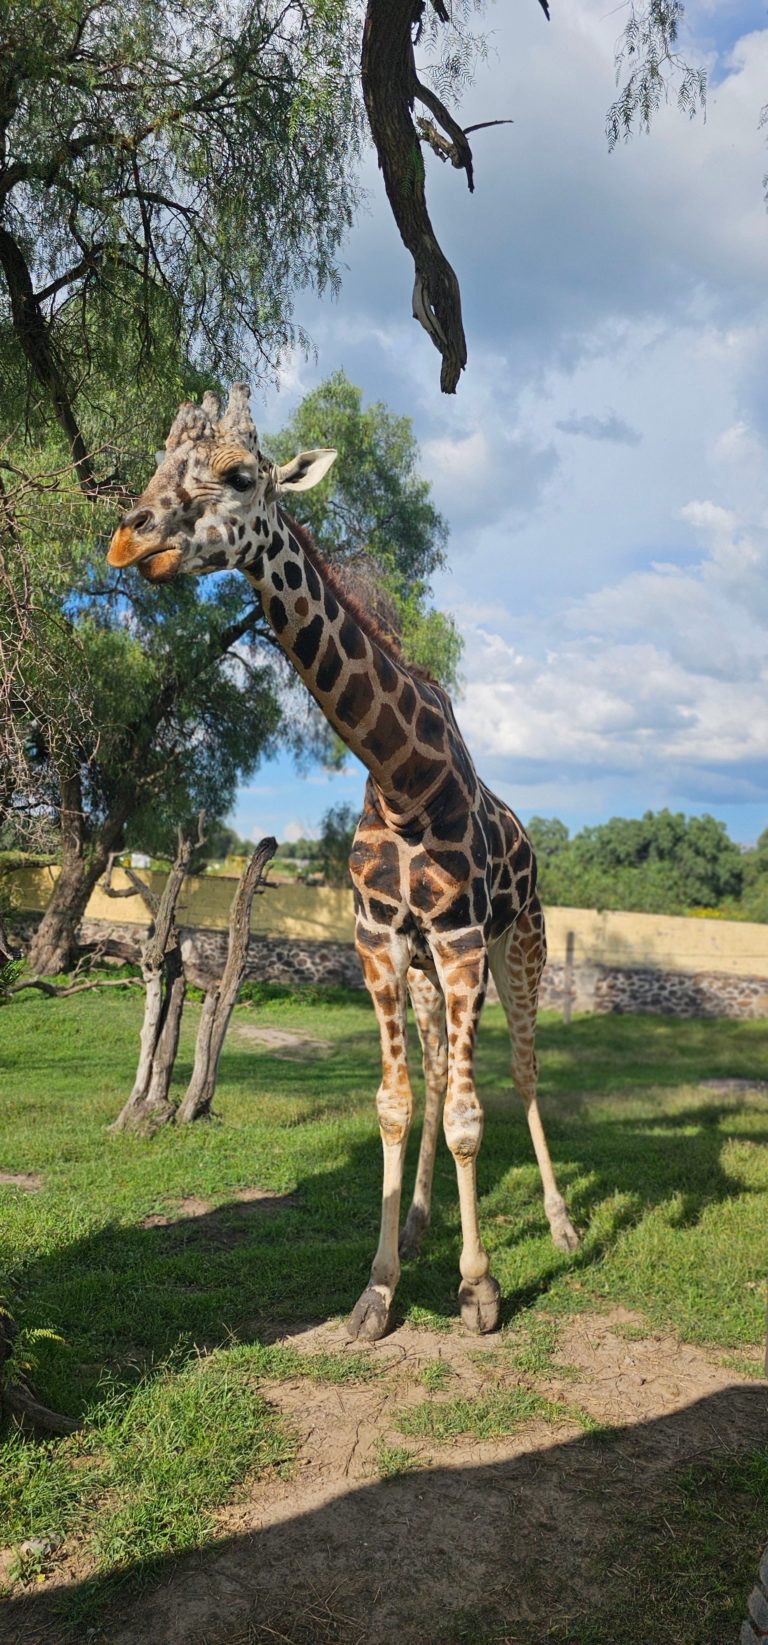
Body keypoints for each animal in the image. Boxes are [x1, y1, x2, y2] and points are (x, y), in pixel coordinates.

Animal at [108, 383, 579, 1341]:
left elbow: (472, 1112)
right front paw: (380, 1288)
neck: (402, 779)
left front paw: (479, 1290)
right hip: (433, 968)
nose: (128, 540)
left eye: (239, 475)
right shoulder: (380, 938)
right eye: (159, 464)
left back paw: (561, 1225)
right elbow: (399, 1103)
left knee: (520, 1069)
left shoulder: (464, 936)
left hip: (521, 944)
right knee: (438, 1070)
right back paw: (431, 1218)